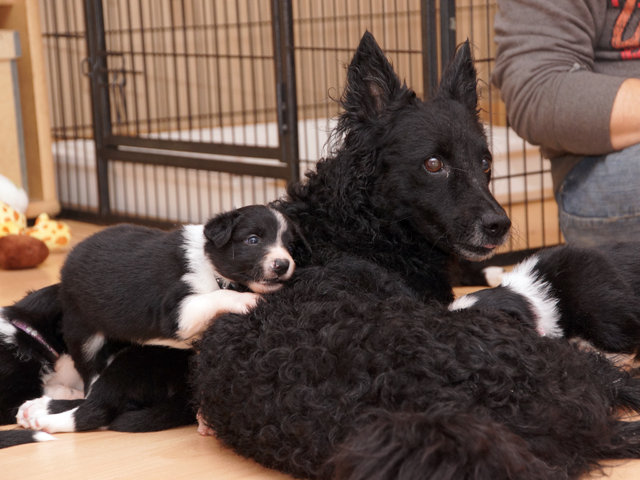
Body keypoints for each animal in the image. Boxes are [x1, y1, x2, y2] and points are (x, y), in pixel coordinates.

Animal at [0, 204, 297, 443]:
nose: (283, 264)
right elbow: (216, 297)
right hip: (88, 334)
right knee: (93, 400)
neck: (211, 264)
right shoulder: (176, 311)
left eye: (289, 246)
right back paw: (42, 418)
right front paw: (248, 300)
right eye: (253, 240)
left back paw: (36, 409)